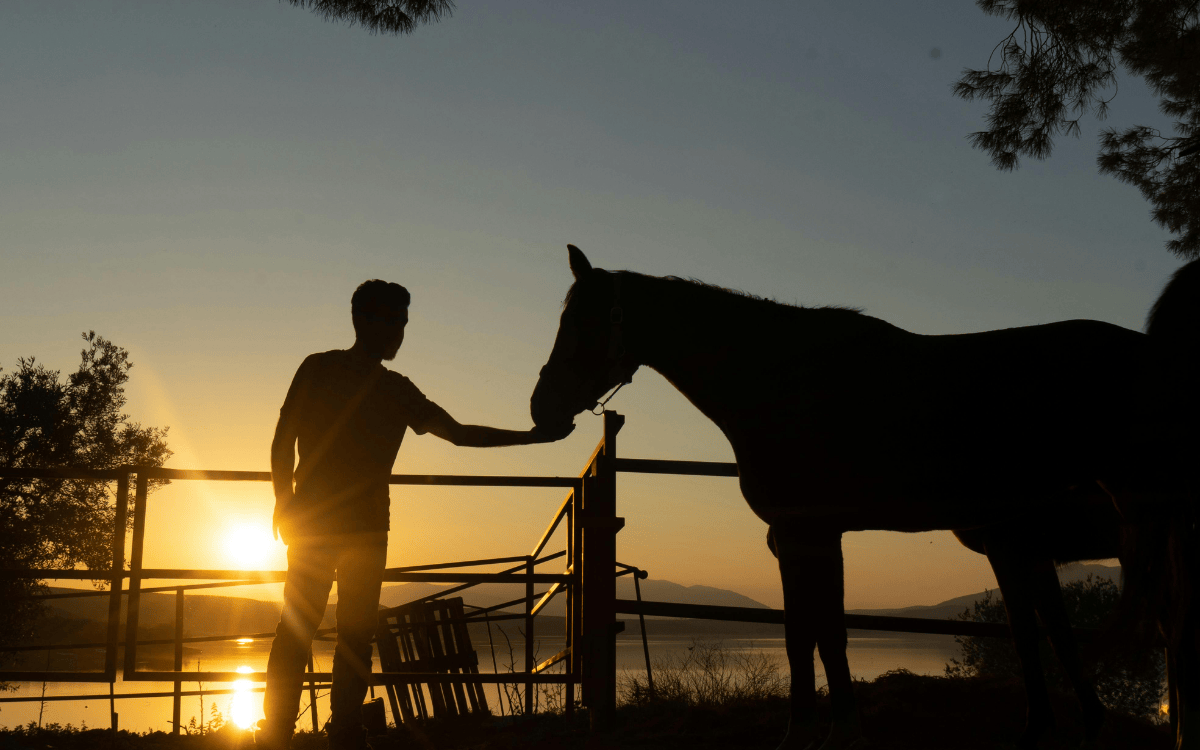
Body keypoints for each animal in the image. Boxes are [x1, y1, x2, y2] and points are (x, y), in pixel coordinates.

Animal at [529, 245, 1200, 750]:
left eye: (584, 324)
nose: (541, 409)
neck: (781, 384)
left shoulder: (809, 532)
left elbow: (817, 634)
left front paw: (820, 733)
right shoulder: (805, 536)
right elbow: (817, 633)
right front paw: (826, 732)